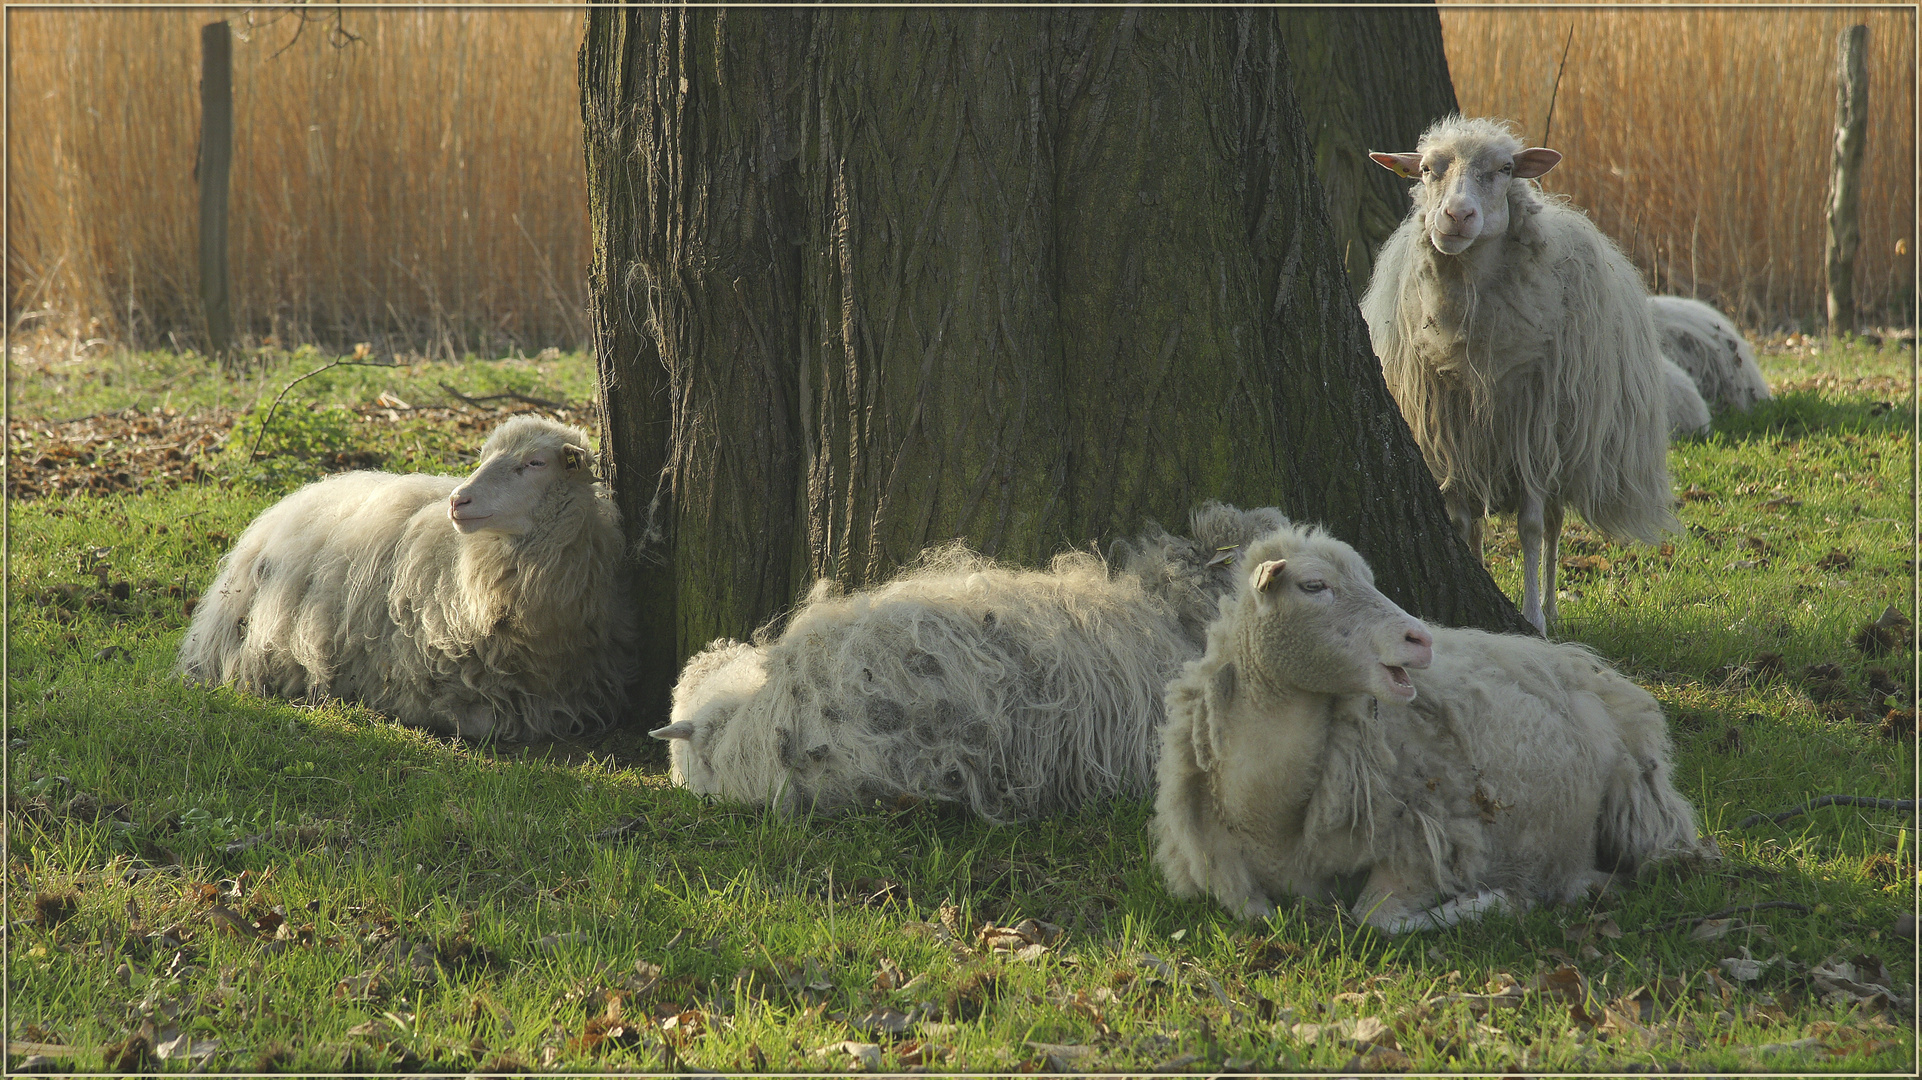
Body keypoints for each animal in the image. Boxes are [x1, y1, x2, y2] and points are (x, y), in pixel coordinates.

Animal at [1145, 518, 1706, 926]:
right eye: (1314, 586)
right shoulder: (1226, 874)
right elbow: (1255, 914)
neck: (1268, 811)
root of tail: (1581, 661)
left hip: (1636, 796)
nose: (1421, 638)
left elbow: (1374, 919)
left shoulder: (1422, 842)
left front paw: (1496, 901)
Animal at [1360, 115, 1675, 638]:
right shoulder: (1451, 434)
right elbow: (1461, 522)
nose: (1456, 216)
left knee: (1551, 524)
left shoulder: (1531, 428)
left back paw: (1549, 605)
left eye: (1506, 169)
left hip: (1562, 440)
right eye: (1425, 169)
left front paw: (1532, 618)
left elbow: (1529, 526)